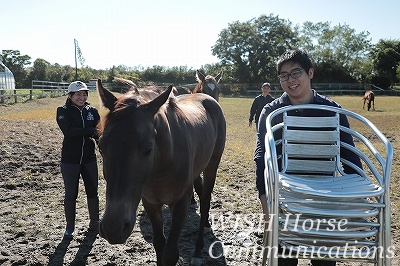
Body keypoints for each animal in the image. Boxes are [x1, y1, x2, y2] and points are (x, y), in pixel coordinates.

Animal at [97, 79, 227, 266]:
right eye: (100, 146)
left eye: (148, 149)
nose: (113, 228)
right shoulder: (151, 204)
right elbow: (159, 244)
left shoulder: (180, 204)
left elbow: (171, 253)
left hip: (211, 167)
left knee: (205, 202)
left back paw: (198, 251)